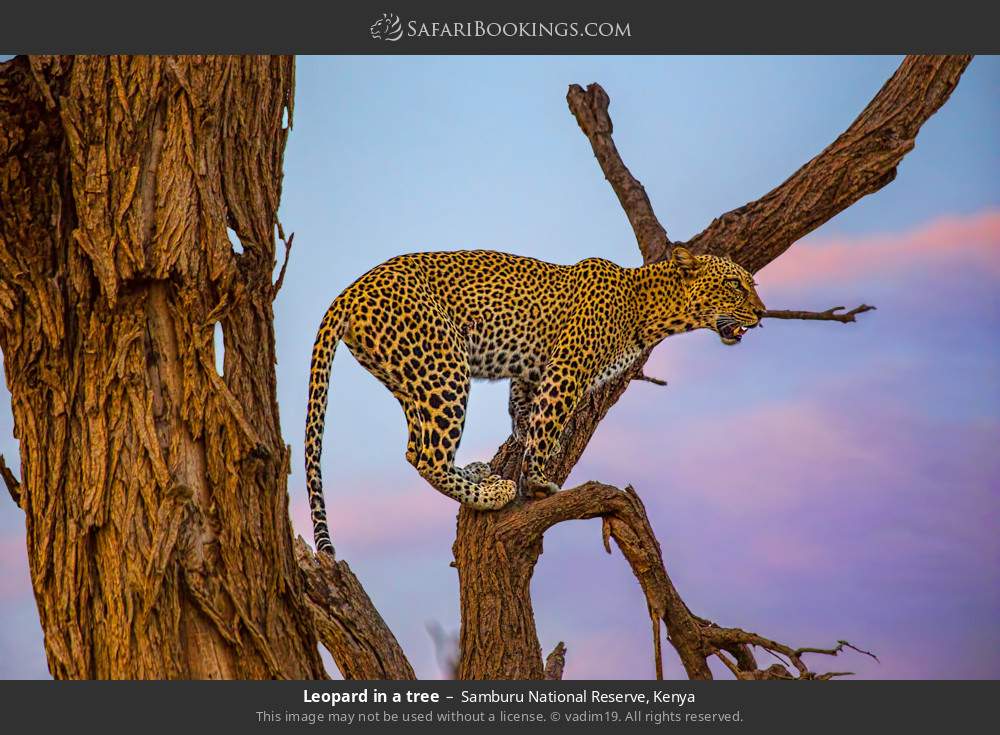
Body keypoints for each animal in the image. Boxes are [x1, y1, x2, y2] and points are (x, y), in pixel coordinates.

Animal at [304, 246, 766, 554]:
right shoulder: (568, 367)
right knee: (426, 455)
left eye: (751, 286)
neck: (647, 309)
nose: (762, 314)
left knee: (416, 444)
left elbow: (527, 414)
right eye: (734, 285)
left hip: (408, 375)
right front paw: (540, 479)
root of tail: (350, 290)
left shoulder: (531, 372)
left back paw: (476, 473)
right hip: (444, 365)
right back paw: (492, 492)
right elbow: (549, 417)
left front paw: (532, 446)